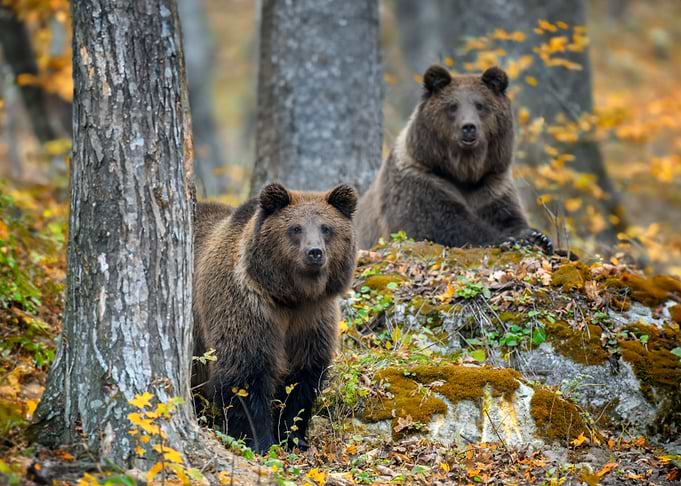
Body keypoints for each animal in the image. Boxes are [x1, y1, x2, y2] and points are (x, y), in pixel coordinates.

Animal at [191, 182, 358, 453]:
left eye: (326, 228)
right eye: (295, 228)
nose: (314, 252)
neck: (289, 297)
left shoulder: (313, 318)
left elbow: (303, 377)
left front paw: (293, 437)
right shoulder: (247, 309)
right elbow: (246, 374)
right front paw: (260, 441)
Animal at [356, 64, 552, 254]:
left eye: (480, 105)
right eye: (452, 106)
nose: (468, 127)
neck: (463, 172)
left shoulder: (493, 185)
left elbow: (509, 217)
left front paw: (539, 237)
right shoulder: (420, 181)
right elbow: (439, 222)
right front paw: (506, 239)